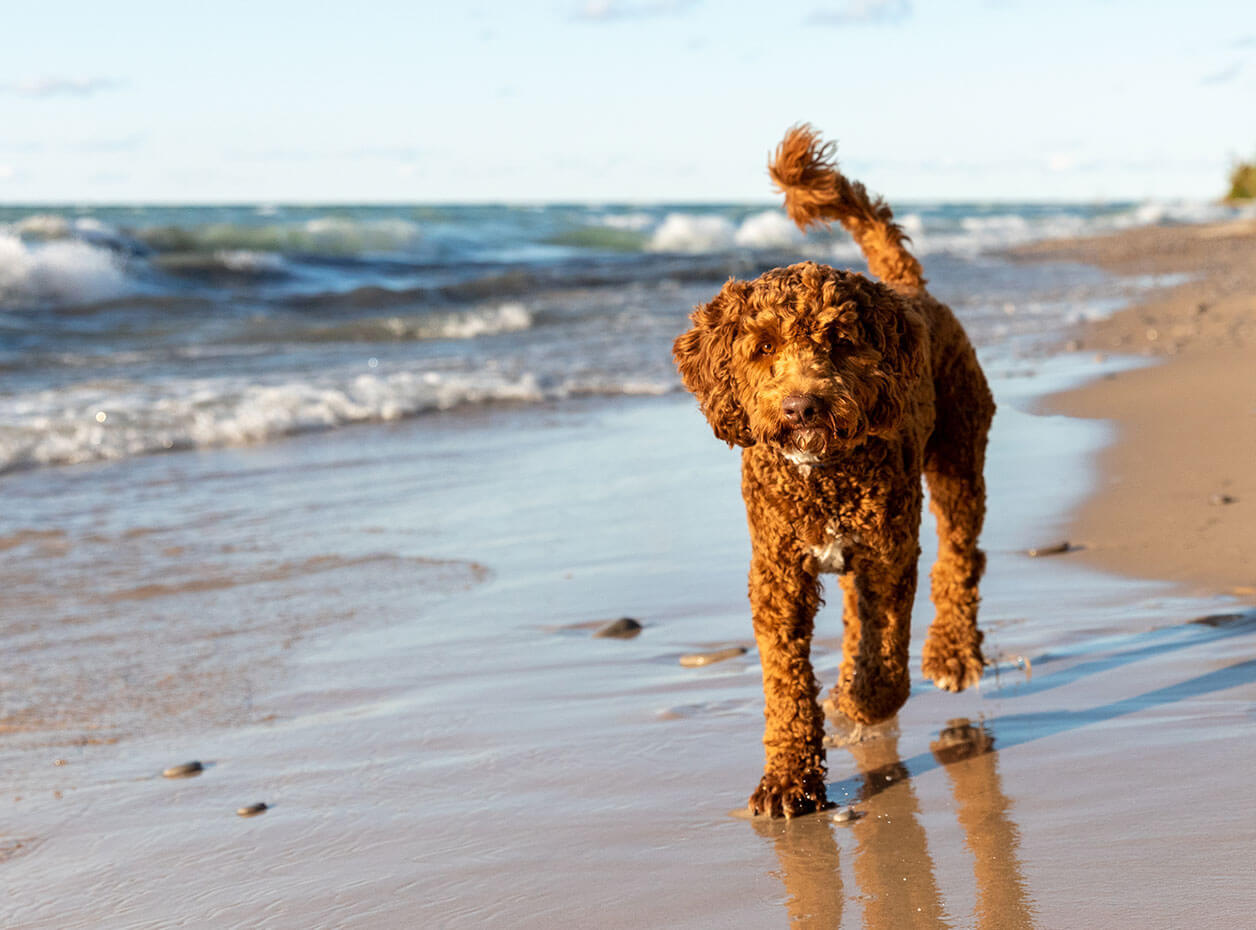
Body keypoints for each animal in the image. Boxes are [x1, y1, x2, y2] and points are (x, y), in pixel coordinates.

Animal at [673, 126, 994, 819]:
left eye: (840, 341)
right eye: (763, 347)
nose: (803, 407)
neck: (820, 476)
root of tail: (909, 289)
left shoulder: (889, 553)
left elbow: (886, 656)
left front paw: (860, 700)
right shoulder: (777, 574)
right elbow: (787, 683)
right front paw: (788, 779)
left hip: (959, 458)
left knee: (961, 557)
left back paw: (951, 652)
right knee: (858, 612)